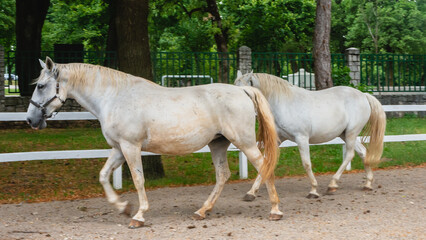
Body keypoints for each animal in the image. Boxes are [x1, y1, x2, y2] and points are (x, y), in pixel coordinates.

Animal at [25, 56, 282, 229]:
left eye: (41, 85)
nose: (30, 119)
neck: (114, 97)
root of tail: (244, 91)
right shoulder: (118, 149)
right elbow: (103, 175)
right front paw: (123, 207)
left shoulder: (131, 147)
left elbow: (138, 179)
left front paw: (138, 216)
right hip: (218, 144)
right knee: (223, 175)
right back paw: (202, 211)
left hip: (244, 143)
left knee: (264, 166)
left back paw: (275, 210)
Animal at [235, 71, 388, 199]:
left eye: (245, 92)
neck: (284, 104)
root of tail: (364, 95)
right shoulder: (278, 140)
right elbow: (264, 163)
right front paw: (251, 193)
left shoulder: (301, 138)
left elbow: (307, 163)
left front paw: (313, 190)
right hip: (345, 135)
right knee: (363, 152)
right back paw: (367, 184)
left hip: (351, 133)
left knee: (350, 155)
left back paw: (332, 185)